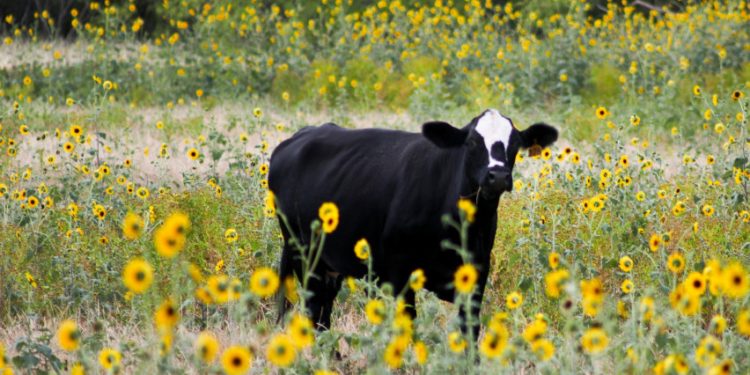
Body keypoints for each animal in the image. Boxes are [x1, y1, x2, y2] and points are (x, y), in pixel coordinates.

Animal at [270, 108, 560, 334]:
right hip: (304, 254)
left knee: (324, 313)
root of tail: (300, 136)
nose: (497, 176)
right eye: (472, 143)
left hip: (329, 263)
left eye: (515, 144)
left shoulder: (478, 271)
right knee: (313, 310)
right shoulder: (400, 272)